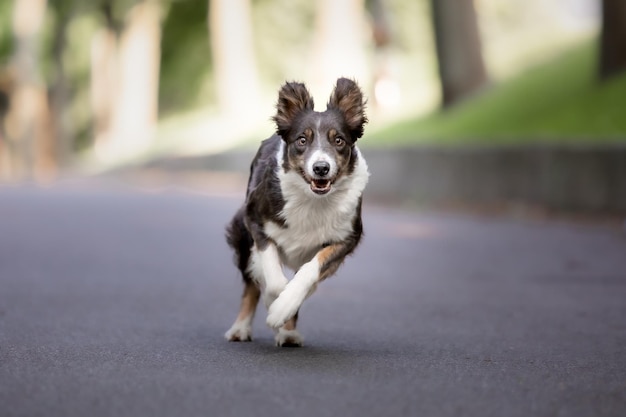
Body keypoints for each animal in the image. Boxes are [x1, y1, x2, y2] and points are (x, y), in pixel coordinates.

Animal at [224, 77, 368, 344]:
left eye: (339, 140)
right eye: (302, 140)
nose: (321, 168)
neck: (312, 200)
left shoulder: (347, 238)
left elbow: (310, 272)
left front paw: (284, 308)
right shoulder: (255, 221)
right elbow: (270, 273)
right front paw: (275, 301)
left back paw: (288, 331)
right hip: (241, 233)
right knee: (250, 284)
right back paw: (240, 328)